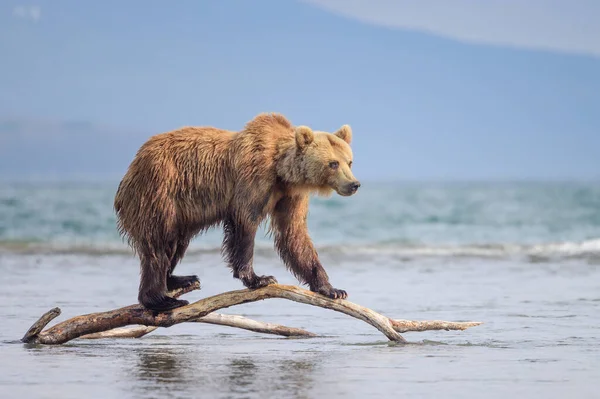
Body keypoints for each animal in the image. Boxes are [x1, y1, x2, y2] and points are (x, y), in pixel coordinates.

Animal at [115, 112, 360, 312]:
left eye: (349, 161)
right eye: (333, 163)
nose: (354, 184)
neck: (281, 170)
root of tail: (131, 169)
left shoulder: (290, 195)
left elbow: (294, 234)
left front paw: (332, 289)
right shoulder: (253, 178)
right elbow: (245, 223)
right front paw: (258, 278)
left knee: (177, 243)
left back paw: (180, 279)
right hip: (158, 191)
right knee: (159, 245)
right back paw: (161, 299)